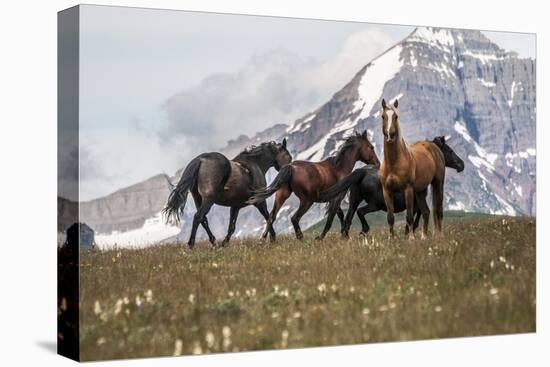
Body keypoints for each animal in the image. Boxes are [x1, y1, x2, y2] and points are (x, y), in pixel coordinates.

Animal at [163, 139, 294, 249]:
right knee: (198, 217)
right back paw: (191, 244)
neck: (255, 164)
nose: (289, 169)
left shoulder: (235, 207)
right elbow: (269, 217)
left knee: (203, 219)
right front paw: (272, 238)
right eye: (289, 156)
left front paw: (224, 243)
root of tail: (200, 160)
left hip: (198, 198)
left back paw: (214, 242)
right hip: (208, 199)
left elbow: (231, 227)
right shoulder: (259, 201)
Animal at [248, 132, 382, 242]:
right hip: (307, 201)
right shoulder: (337, 198)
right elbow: (331, 219)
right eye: (371, 147)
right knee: (294, 218)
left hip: (282, 195)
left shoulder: (333, 200)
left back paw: (264, 239)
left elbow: (340, 215)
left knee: (271, 216)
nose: (378, 163)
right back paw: (301, 238)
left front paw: (344, 236)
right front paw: (322, 237)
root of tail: (291, 167)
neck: (339, 168)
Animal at [320, 136, 466, 239]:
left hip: (355, 200)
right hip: (375, 204)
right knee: (360, 212)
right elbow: (415, 218)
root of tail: (362, 171)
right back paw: (364, 231)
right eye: (450, 151)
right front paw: (408, 234)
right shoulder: (414, 205)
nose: (461, 164)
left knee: (348, 220)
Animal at [382, 99, 450, 240]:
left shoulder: (407, 190)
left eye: (396, 116)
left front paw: (411, 238)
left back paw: (439, 236)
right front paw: (391, 238)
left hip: (438, 183)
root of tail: (434, 147)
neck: (393, 163)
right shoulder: (386, 190)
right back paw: (424, 237)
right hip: (420, 190)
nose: (390, 135)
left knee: (438, 210)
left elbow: (409, 216)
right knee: (426, 211)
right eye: (383, 116)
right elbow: (390, 217)